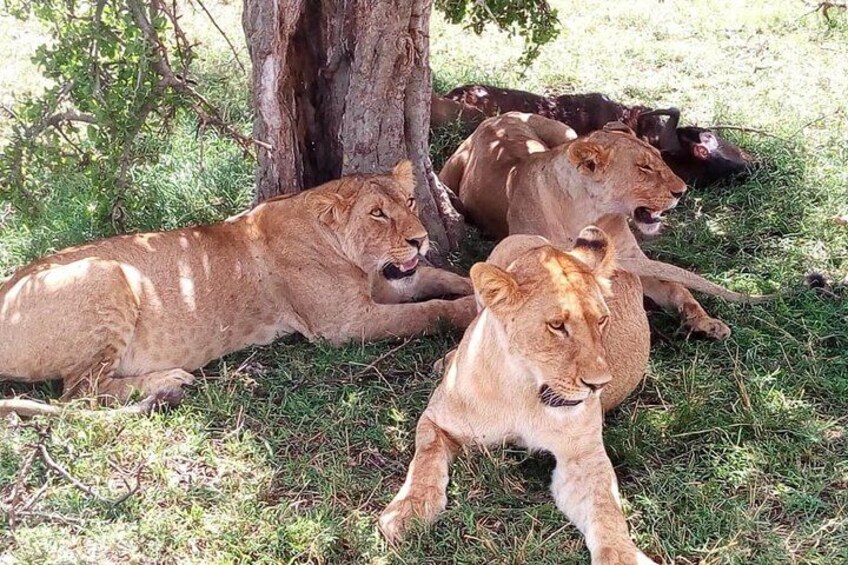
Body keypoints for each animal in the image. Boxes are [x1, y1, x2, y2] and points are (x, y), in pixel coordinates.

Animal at [0, 161, 476, 416]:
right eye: (377, 214)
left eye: (410, 202)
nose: (420, 239)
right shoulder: (343, 324)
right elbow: (429, 311)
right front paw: (470, 311)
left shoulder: (384, 284)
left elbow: (439, 279)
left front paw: (475, 283)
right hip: (108, 274)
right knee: (78, 392)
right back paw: (167, 381)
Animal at [379, 227, 659, 563]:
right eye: (557, 325)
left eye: (602, 320)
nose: (599, 384)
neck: (523, 390)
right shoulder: (437, 419)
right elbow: (425, 458)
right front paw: (408, 510)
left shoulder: (582, 457)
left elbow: (606, 506)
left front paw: (623, 554)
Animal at [440, 111, 764, 340]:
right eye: (644, 167)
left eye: (661, 160)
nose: (681, 191)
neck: (592, 213)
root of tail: (499, 117)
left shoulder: (632, 259)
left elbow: (676, 287)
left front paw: (705, 322)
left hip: (567, 131)